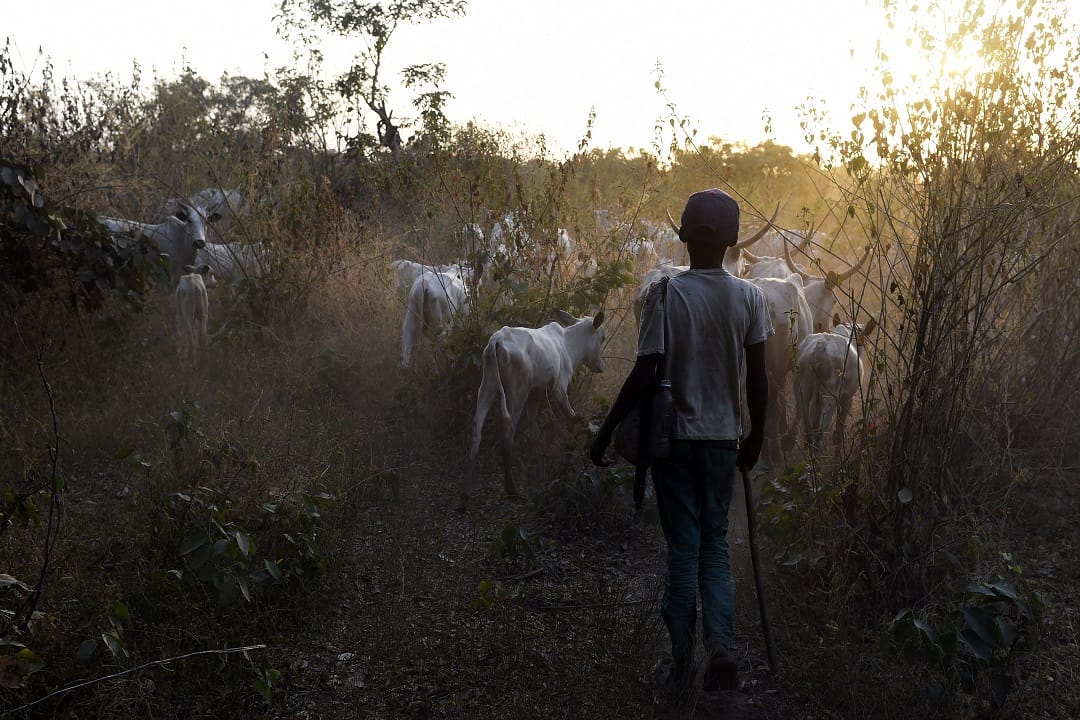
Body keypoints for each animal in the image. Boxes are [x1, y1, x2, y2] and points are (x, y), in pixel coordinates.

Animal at [462, 310, 609, 507]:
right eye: (602, 338)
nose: (601, 367)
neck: (569, 347)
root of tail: (497, 340)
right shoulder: (559, 389)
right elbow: (573, 419)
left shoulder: (535, 395)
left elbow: (533, 433)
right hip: (517, 391)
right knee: (508, 433)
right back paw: (511, 488)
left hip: (488, 386)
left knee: (475, 432)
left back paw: (465, 496)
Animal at [794, 313, 876, 451]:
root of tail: (820, 346)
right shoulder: (847, 399)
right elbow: (838, 431)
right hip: (830, 395)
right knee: (820, 436)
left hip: (802, 389)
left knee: (807, 431)